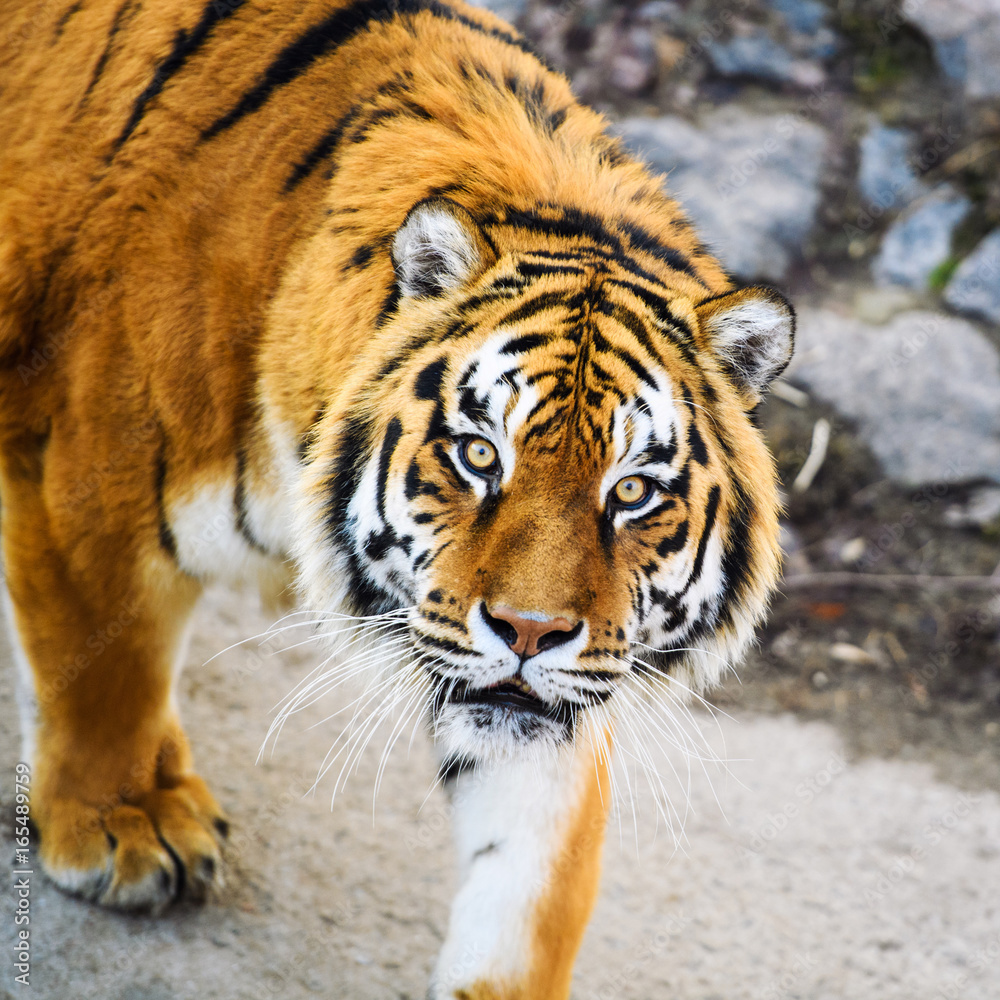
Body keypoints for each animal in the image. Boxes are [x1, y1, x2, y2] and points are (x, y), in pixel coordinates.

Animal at [0, 0, 793, 996]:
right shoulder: (84, 482)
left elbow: (532, 883)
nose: (531, 632)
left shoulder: (552, 700)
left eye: (634, 491)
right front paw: (124, 826)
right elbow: (105, 670)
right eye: (480, 455)